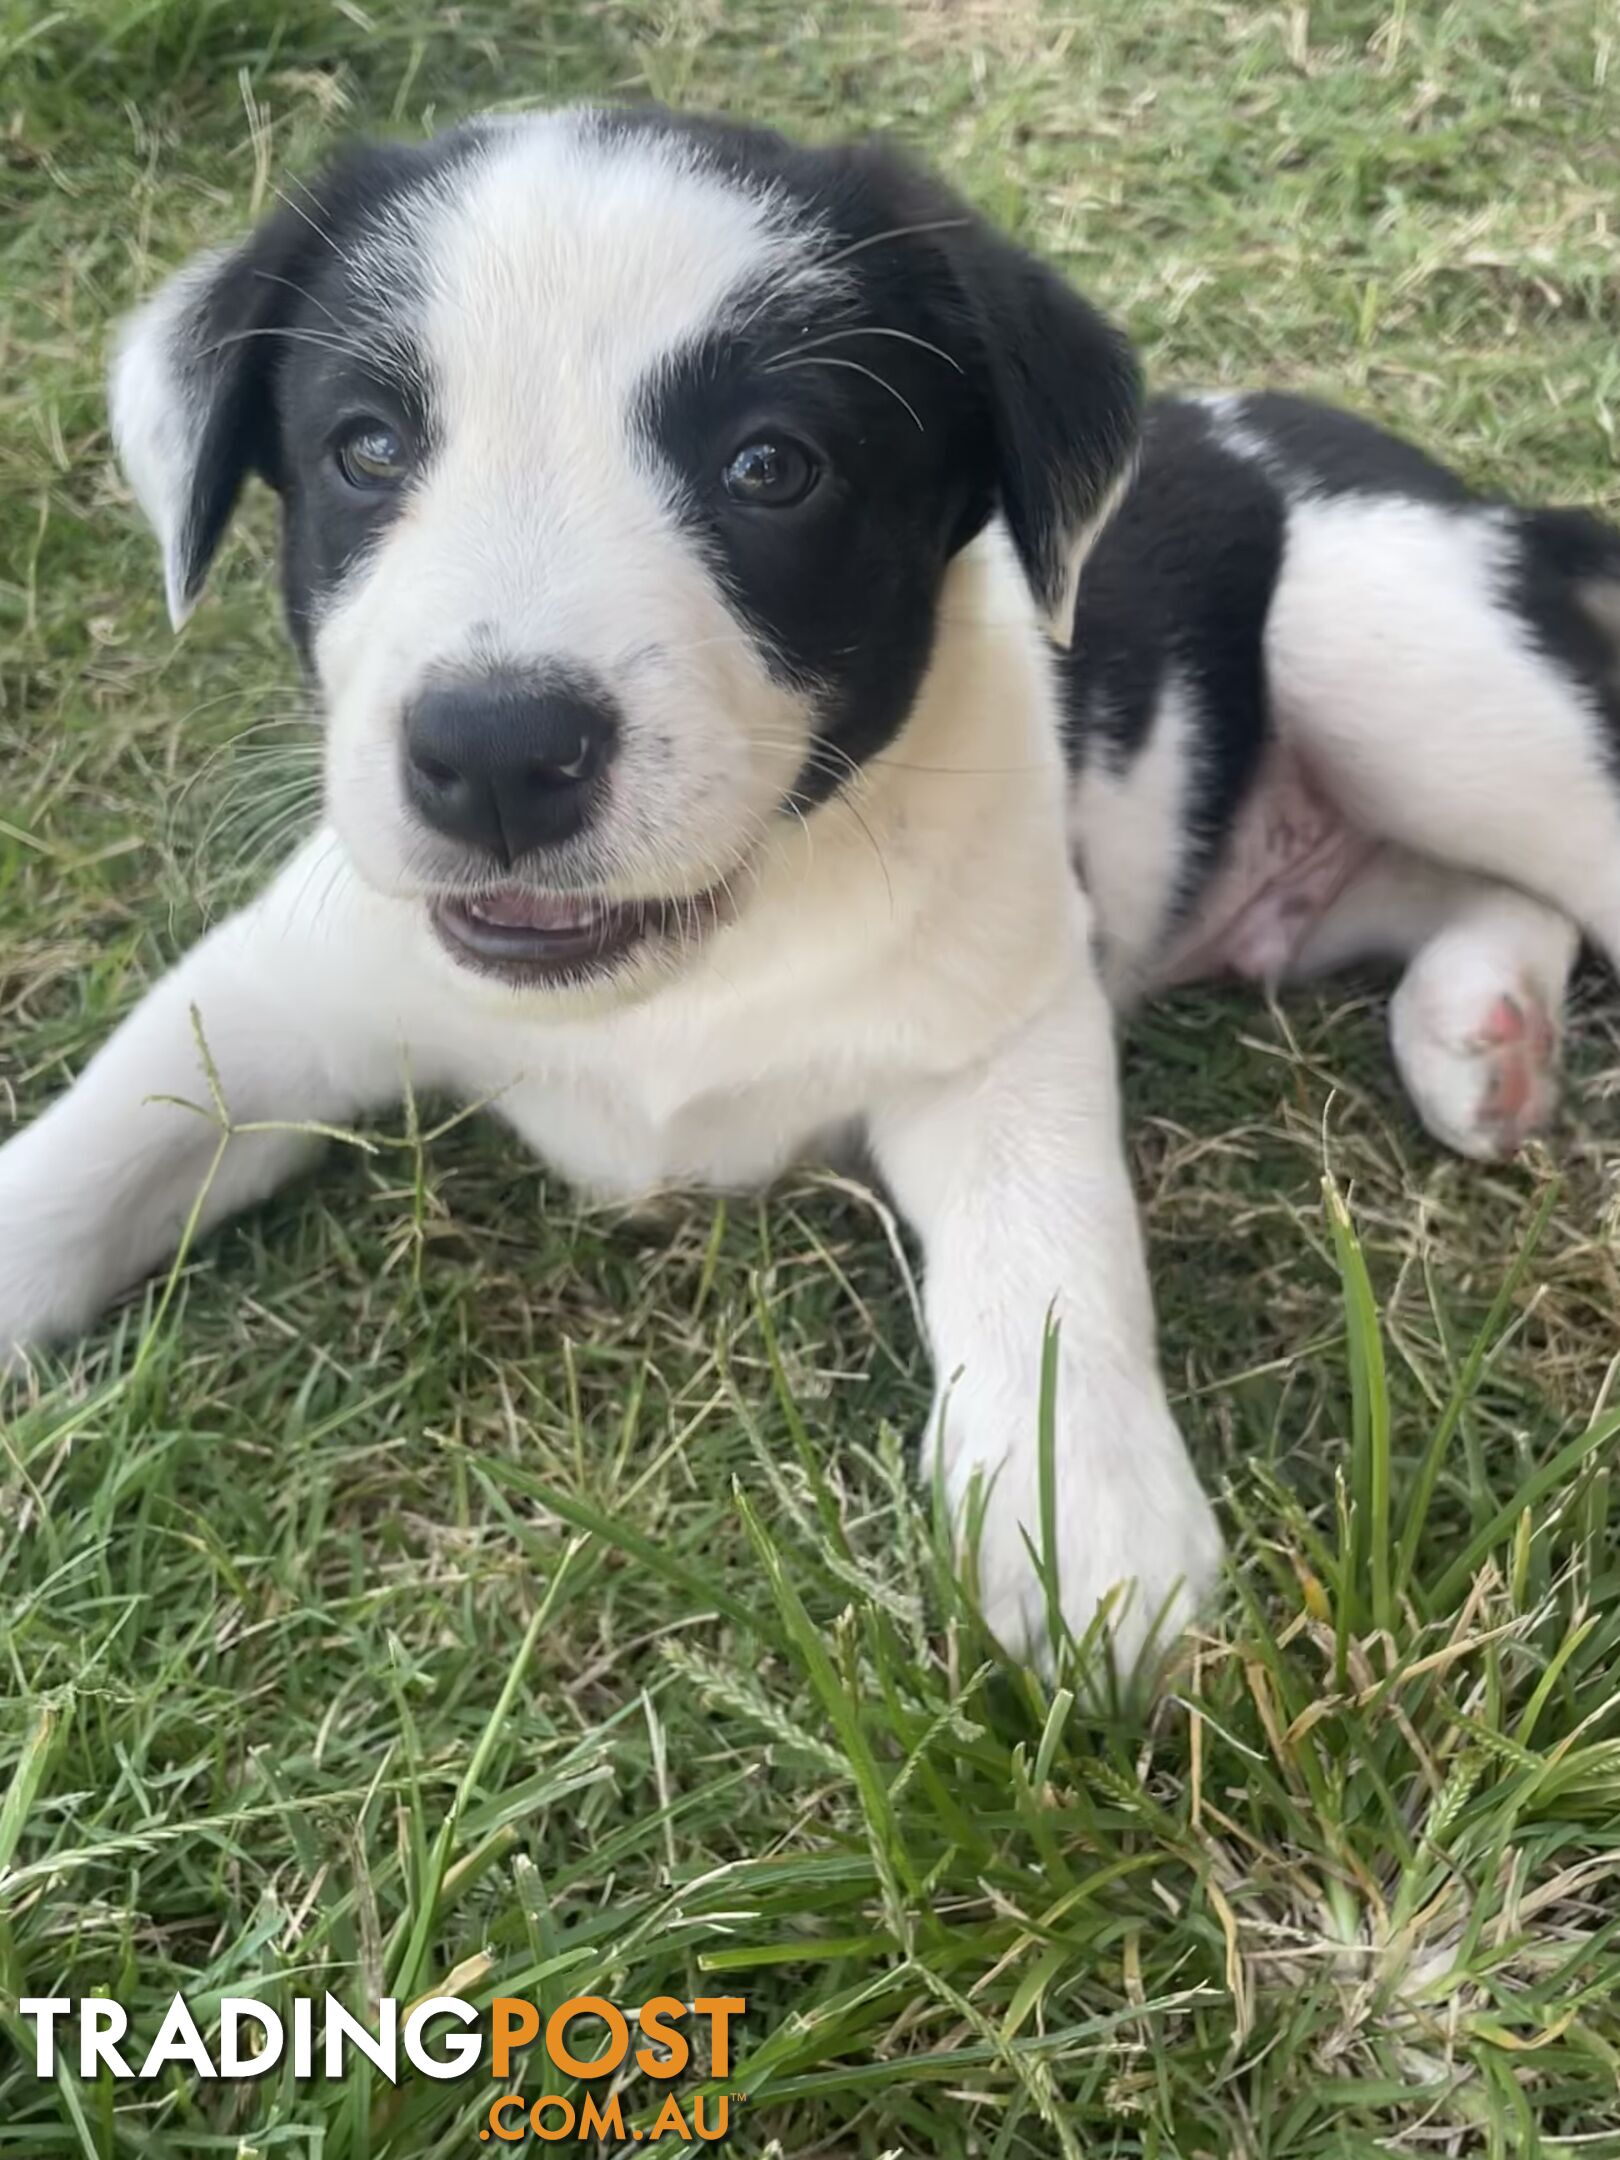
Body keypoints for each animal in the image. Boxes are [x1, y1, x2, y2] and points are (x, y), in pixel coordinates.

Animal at [0, 109, 1615, 1667]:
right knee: (1480, 896)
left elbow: (1046, 1250)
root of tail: (1462, 495)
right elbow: (96, 1154)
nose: (499, 754)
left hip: (1395, 655)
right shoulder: (281, 990)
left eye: (771, 468)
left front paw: (1080, 1516)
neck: (689, 960)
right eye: (370, 449)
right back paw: (1481, 1037)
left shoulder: (1001, 1027)